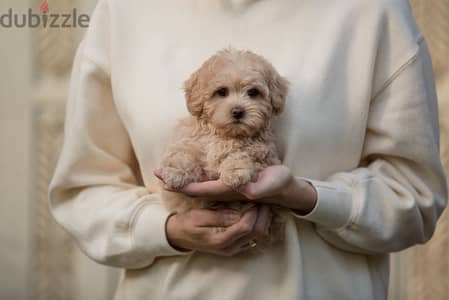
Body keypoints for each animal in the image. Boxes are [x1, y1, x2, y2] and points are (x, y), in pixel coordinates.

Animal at [159, 49, 288, 245]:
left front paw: (235, 171)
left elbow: (243, 153)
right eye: (221, 92)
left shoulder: (264, 154)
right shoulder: (191, 141)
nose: (238, 112)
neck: (225, 135)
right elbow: (184, 153)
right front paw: (176, 172)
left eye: (253, 92)